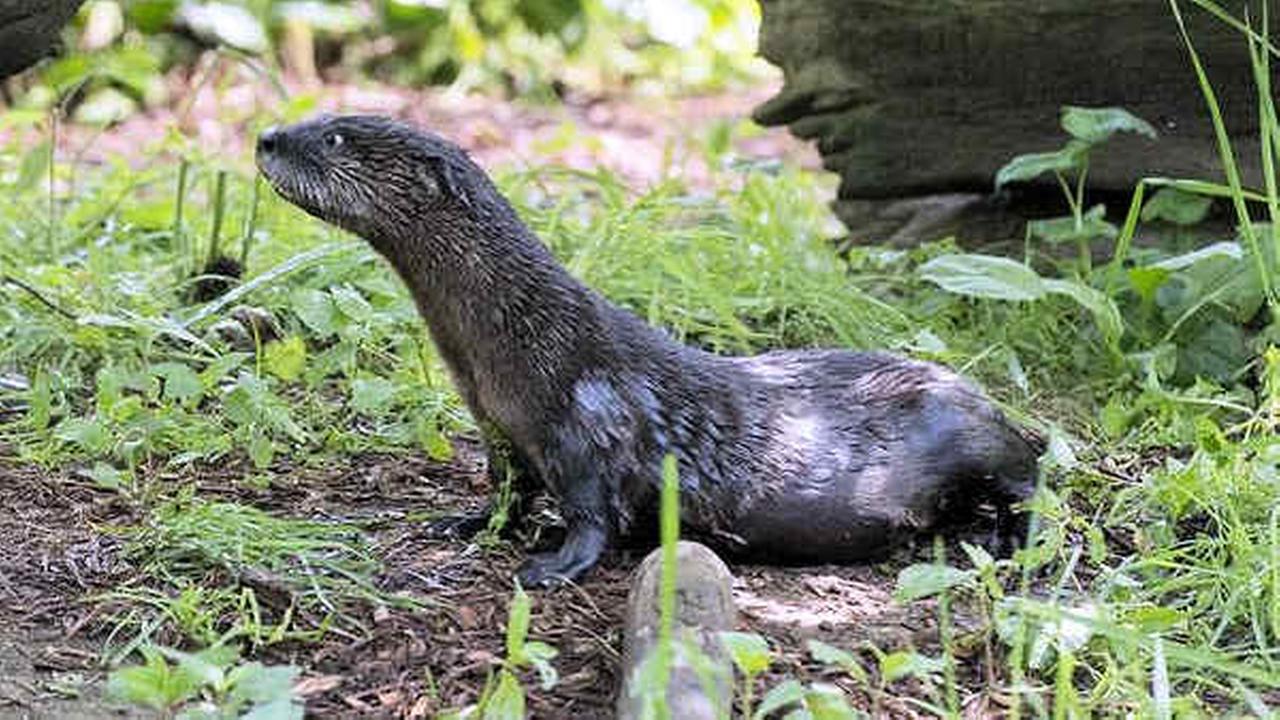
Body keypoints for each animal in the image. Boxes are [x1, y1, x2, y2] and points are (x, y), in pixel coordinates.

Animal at [255, 115, 1040, 586]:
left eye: (335, 138)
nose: (266, 137)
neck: (519, 343)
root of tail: (979, 396)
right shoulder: (501, 431)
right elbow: (505, 490)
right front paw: (466, 522)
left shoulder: (587, 427)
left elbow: (592, 516)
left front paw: (549, 568)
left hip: (970, 433)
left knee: (1029, 476)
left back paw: (1010, 540)